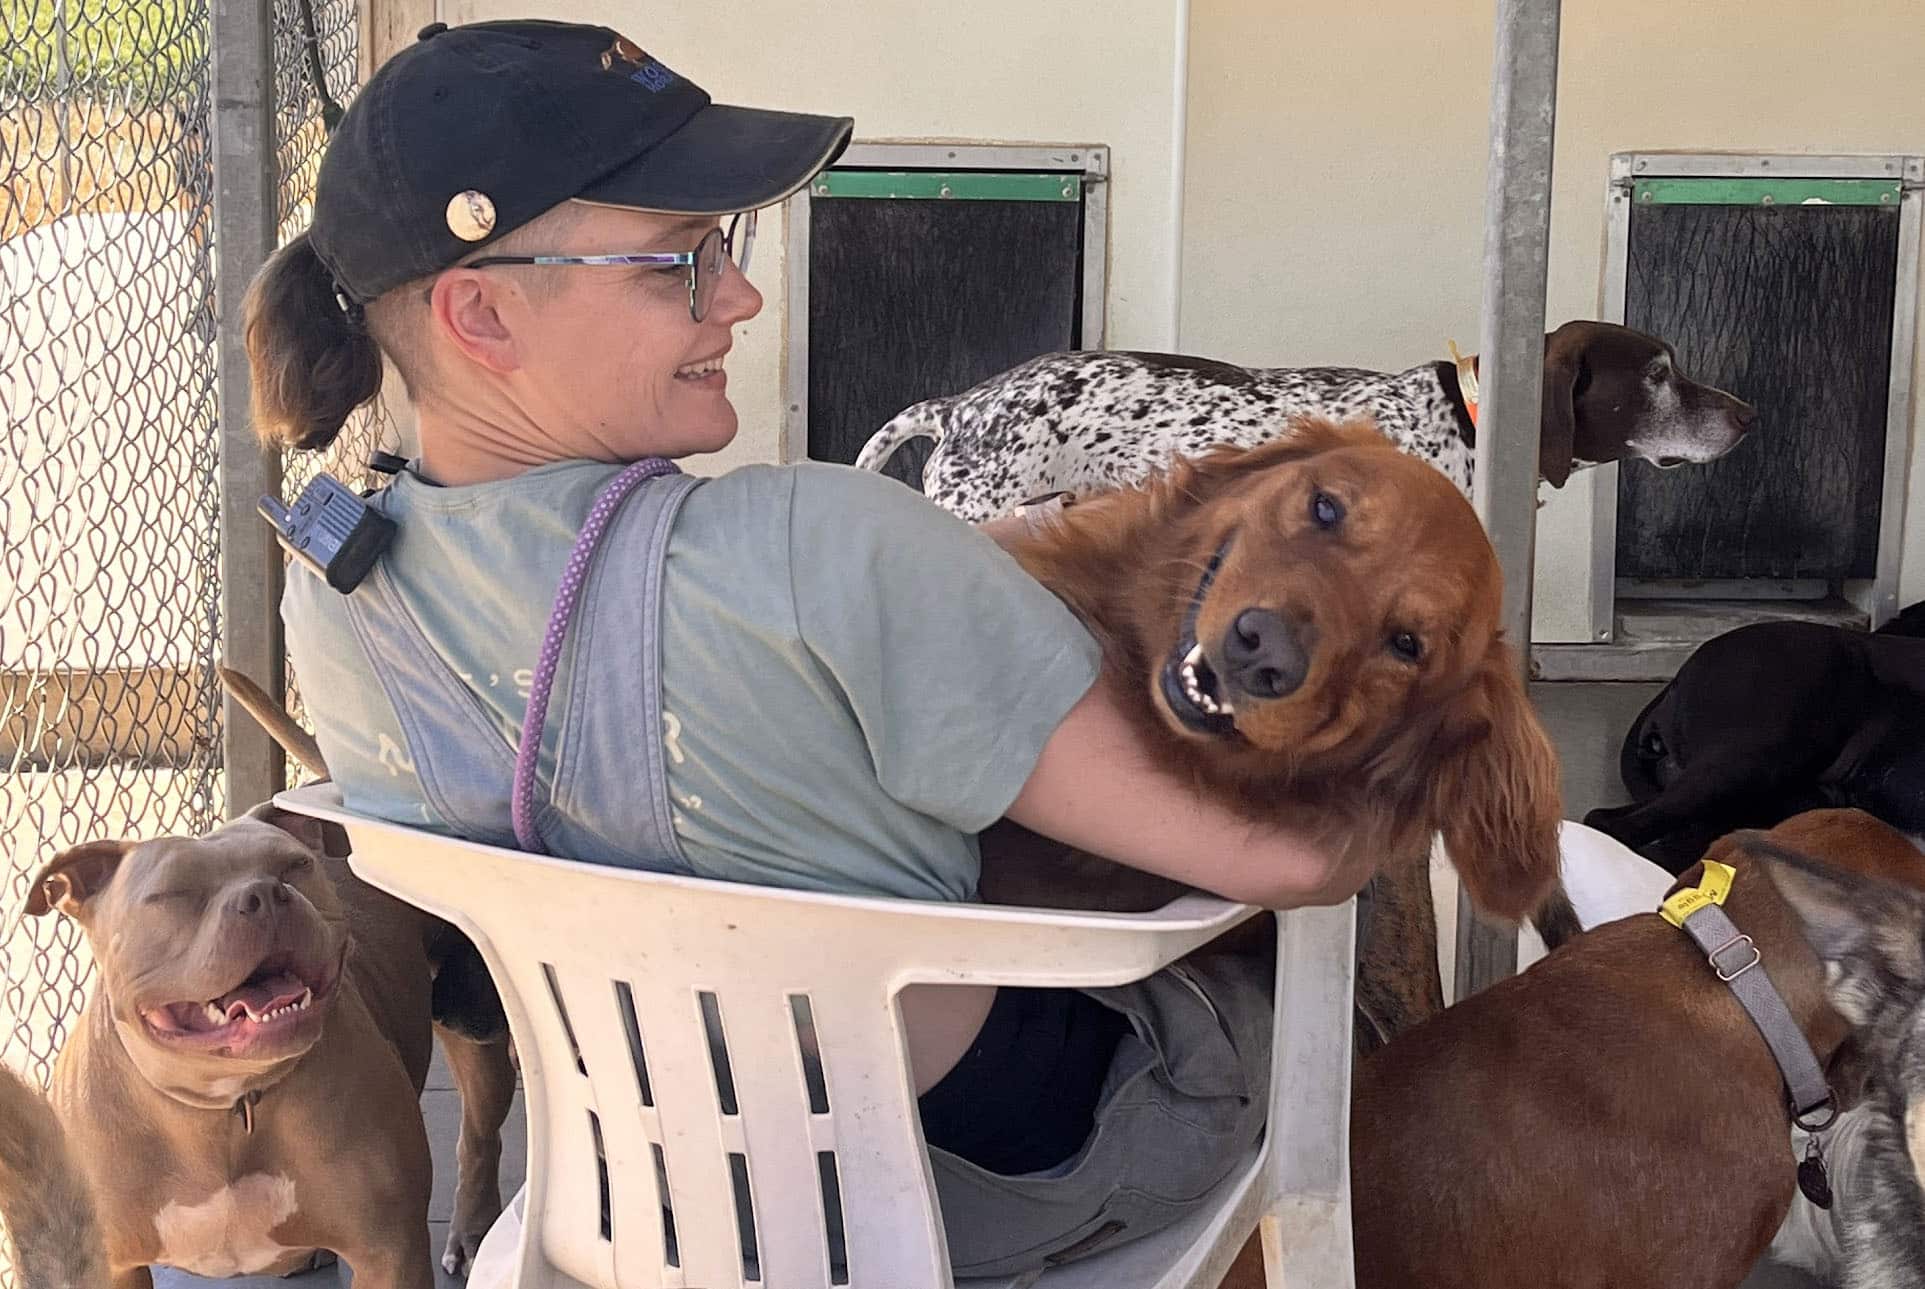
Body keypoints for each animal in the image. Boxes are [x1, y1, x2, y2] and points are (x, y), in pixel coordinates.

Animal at [24, 804, 519, 1285]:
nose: (264, 893)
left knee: (480, 1135)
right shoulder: (109, 1265)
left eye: (295, 866)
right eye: (173, 893)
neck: (227, 1105)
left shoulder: (390, 1255)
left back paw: (473, 1234)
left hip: (474, 1008)